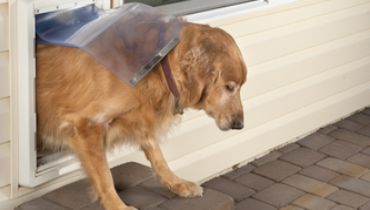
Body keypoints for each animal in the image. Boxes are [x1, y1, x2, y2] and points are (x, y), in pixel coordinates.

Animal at [36, 21, 246, 210]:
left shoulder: (141, 118)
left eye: (241, 86)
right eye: (229, 87)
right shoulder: (86, 125)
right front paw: (118, 206)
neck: (157, 65)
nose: (240, 125)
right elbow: (105, 176)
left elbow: (158, 157)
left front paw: (177, 183)